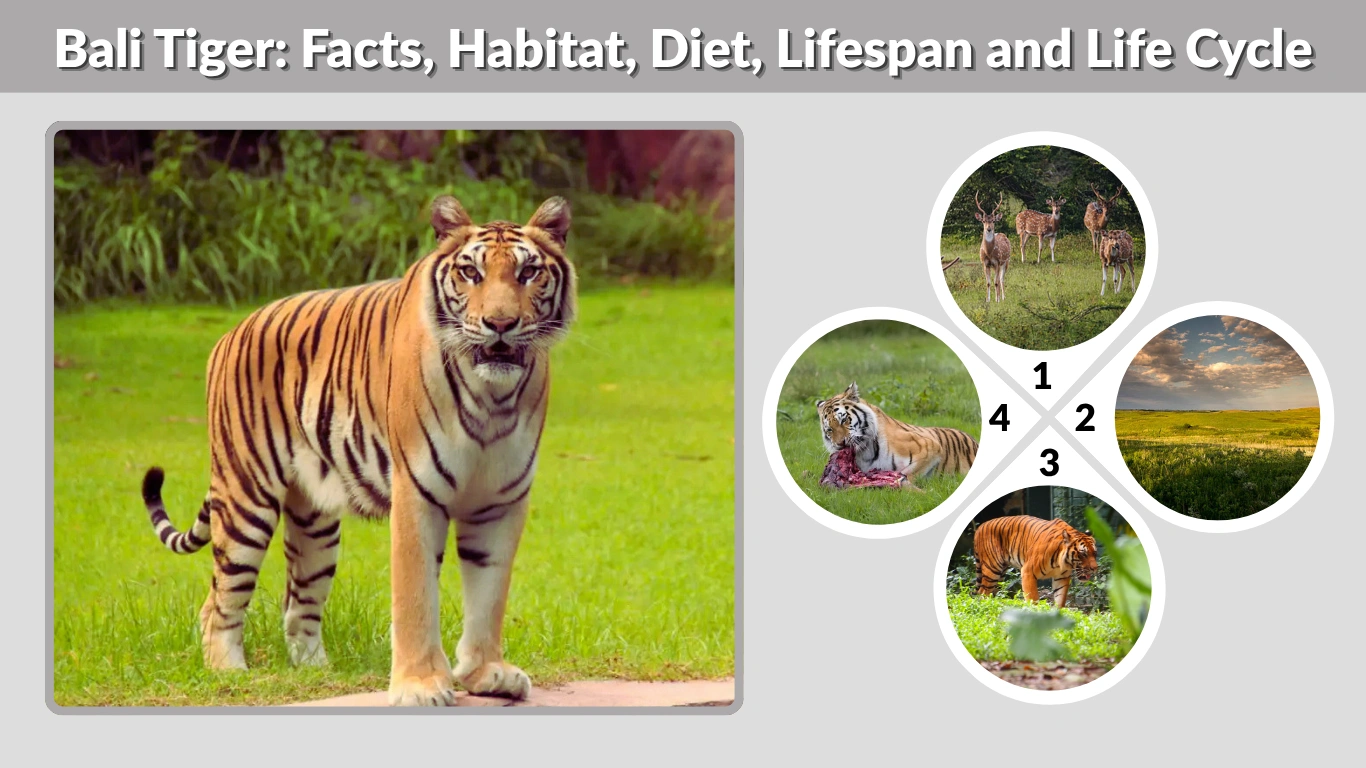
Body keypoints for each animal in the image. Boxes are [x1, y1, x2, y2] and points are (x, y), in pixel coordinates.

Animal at [140, 194, 576, 707]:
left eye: (529, 273)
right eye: (471, 272)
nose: (501, 324)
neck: (493, 398)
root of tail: (230, 333)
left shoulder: (500, 501)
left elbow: (490, 594)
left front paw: (487, 673)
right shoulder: (417, 494)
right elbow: (415, 597)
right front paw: (420, 685)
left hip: (315, 524)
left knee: (298, 605)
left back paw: (316, 673)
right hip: (246, 497)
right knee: (218, 602)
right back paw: (231, 673)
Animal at [815, 382, 977, 489]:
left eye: (844, 420)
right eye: (829, 430)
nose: (840, 444)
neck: (865, 453)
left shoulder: (930, 447)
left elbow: (908, 473)